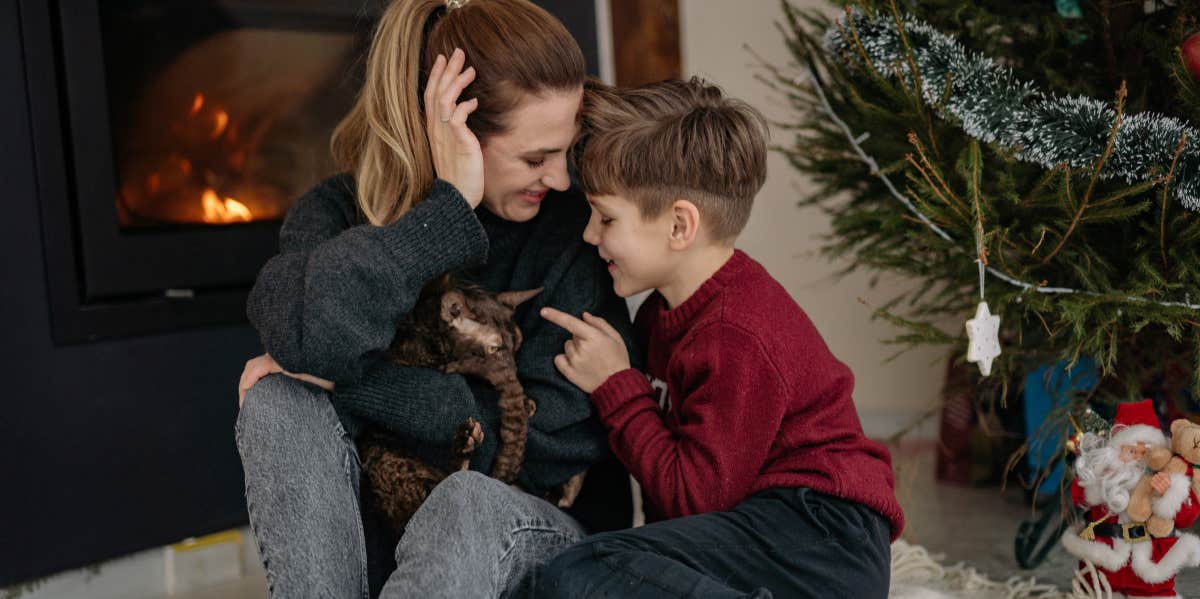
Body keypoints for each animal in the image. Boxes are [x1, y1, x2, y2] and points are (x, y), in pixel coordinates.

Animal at [355, 276, 585, 535]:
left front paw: (527, 403)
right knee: (445, 488)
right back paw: (464, 442)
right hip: (394, 468)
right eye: (492, 349)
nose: (512, 370)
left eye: (517, 344)